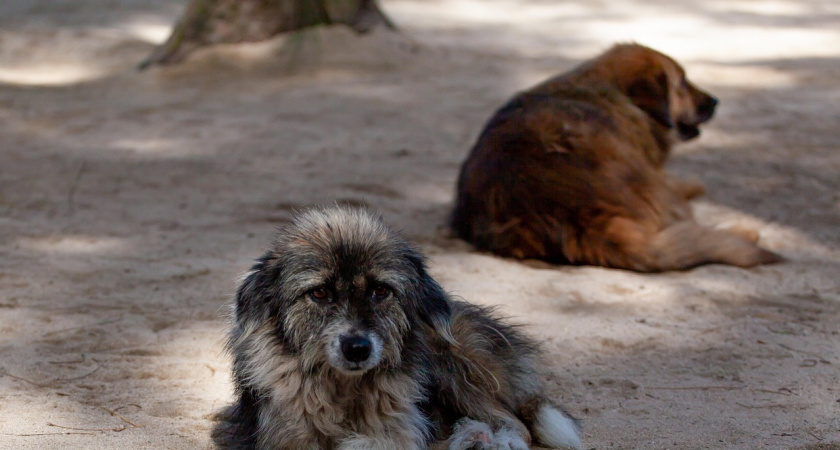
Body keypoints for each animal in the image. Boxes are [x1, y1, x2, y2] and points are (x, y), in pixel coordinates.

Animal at [228, 206, 584, 448]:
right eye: (319, 293)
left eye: (380, 291)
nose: (357, 349)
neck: (345, 389)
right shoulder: (283, 434)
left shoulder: (399, 428)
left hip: (452, 367)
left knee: (515, 422)